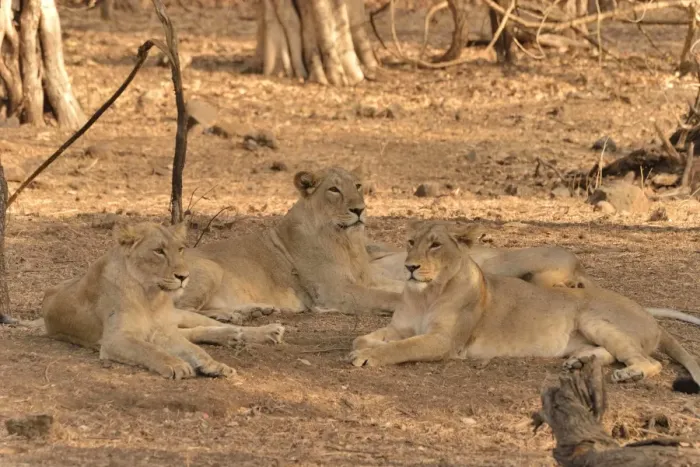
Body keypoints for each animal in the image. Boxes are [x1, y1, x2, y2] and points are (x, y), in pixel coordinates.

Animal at [41, 222, 285, 379]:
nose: (184, 276)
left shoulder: (162, 332)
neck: (150, 295)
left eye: (180, 249)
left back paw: (266, 327)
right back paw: (236, 335)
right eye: (159, 251)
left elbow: (194, 350)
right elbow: (149, 350)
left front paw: (213, 365)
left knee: (212, 326)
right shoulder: (115, 339)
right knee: (199, 332)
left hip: (181, 315)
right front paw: (176, 364)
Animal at [176, 167, 404, 323]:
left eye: (357, 186)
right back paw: (231, 316)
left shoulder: (368, 279)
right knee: (182, 311)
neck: (347, 243)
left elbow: (399, 285)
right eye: (334, 189)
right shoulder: (335, 291)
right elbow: (387, 296)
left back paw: (252, 311)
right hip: (209, 268)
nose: (359, 209)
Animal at [349, 221, 700, 389]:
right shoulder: (400, 327)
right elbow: (366, 337)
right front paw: (362, 346)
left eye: (435, 245)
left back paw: (629, 375)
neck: (426, 294)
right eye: (411, 242)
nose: (410, 267)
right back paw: (579, 361)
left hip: (592, 317)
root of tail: (653, 320)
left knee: (649, 362)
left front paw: (368, 356)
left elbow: (401, 347)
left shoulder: (444, 342)